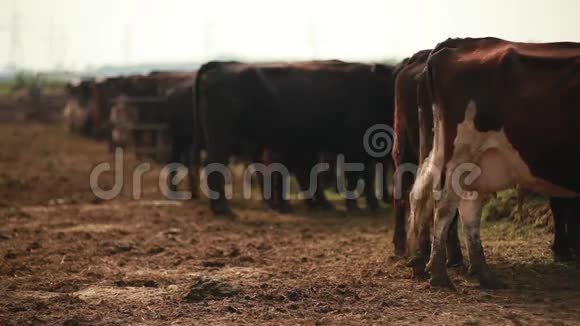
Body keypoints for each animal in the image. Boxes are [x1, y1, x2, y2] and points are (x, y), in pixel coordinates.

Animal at [194, 60, 394, 216]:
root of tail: (220, 64)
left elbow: (367, 175)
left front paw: (373, 205)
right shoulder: (353, 146)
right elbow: (355, 175)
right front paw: (355, 207)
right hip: (221, 136)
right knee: (216, 164)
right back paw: (223, 209)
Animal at [406, 37, 580, 290]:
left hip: (466, 160)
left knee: (446, 202)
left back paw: (476, 272)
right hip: (459, 154)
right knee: (444, 206)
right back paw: (439, 274)